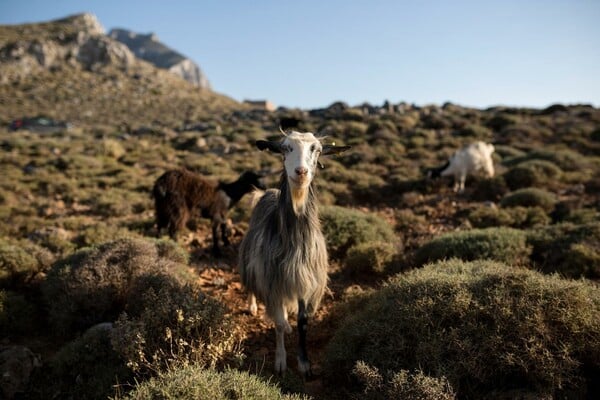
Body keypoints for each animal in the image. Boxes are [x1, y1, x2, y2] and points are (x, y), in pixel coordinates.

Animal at [239, 132, 350, 378]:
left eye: (316, 149)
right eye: (285, 148)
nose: (301, 172)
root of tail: (267, 192)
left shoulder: (306, 282)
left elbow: (302, 322)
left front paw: (304, 364)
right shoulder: (273, 281)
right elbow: (278, 324)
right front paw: (280, 362)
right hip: (250, 259)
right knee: (252, 285)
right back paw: (252, 306)